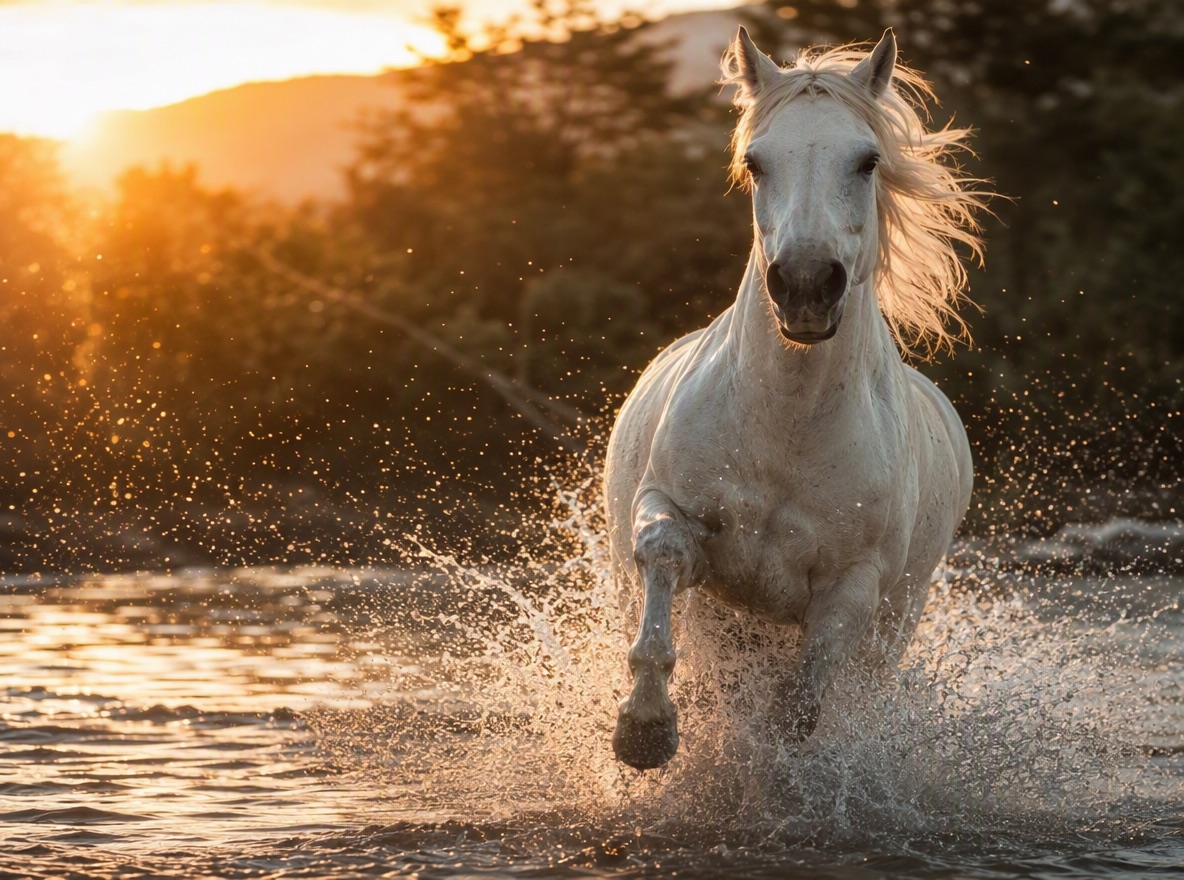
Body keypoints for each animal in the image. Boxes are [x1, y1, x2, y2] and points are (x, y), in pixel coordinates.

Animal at [603, 27, 989, 770]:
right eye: (756, 162)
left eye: (867, 160)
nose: (807, 285)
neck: (785, 428)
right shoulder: (671, 512)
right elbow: (662, 557)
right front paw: (644, 726)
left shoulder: (852, 590)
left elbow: (798, 712)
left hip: (894, 623)